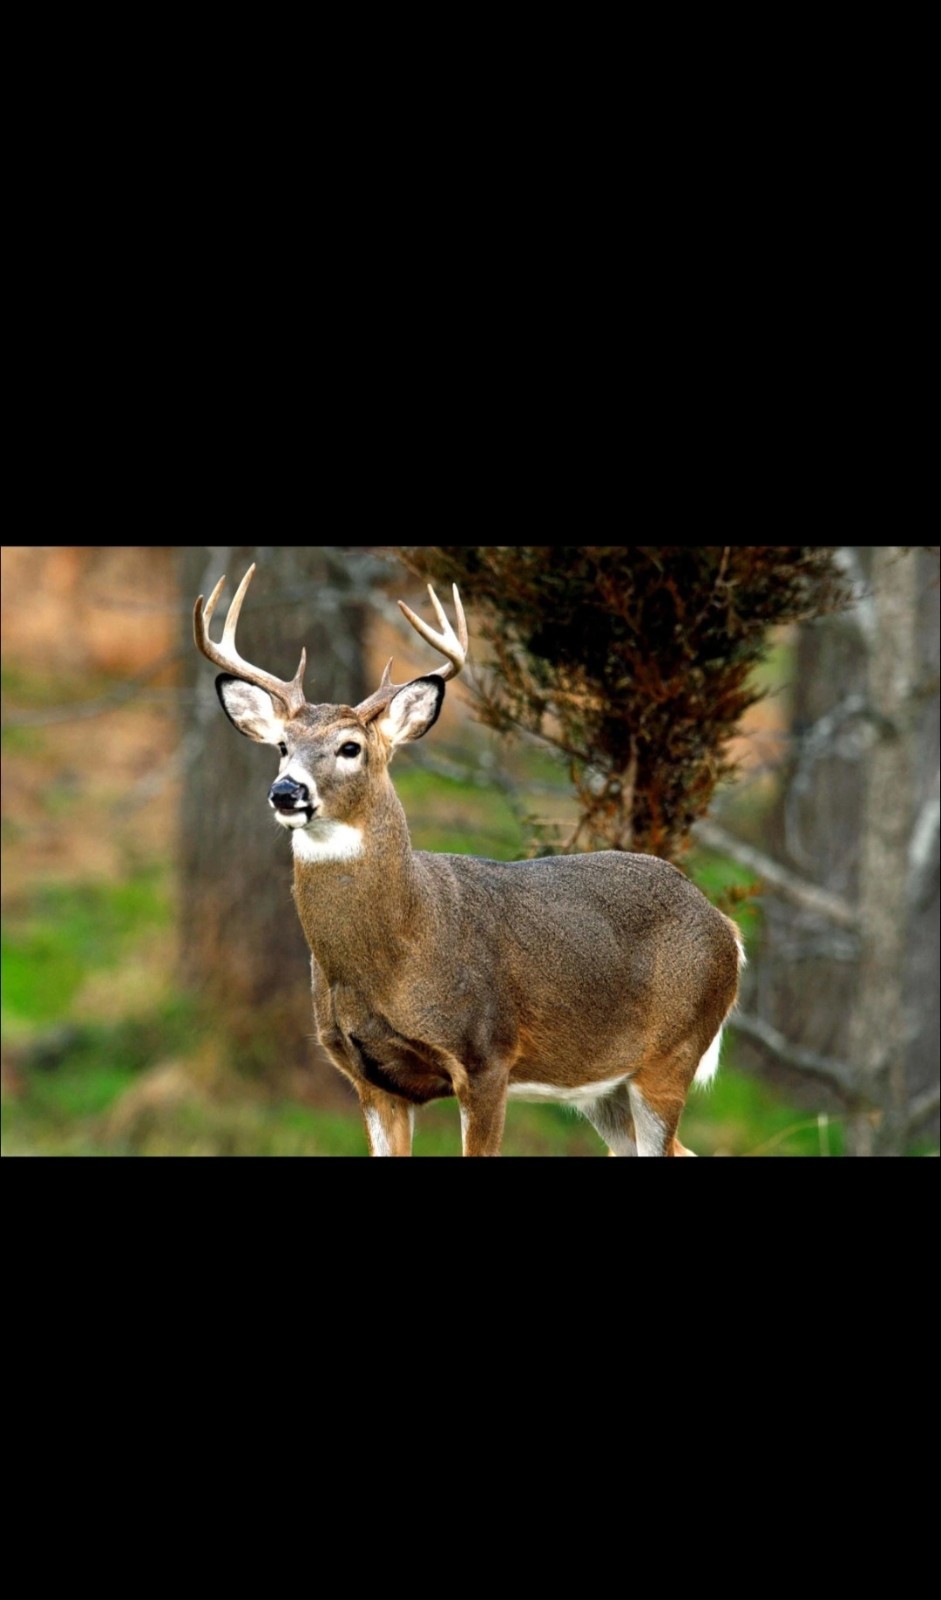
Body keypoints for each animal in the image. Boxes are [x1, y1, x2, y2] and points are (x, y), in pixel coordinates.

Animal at [194, 563, 744, 1156]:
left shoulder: (485, 1055)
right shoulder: (368, 1076)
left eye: (350, 747)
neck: (396, 949)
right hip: (605, 1086)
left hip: (671, 1052)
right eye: (281, 746)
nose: (286, 792)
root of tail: (727, 927)